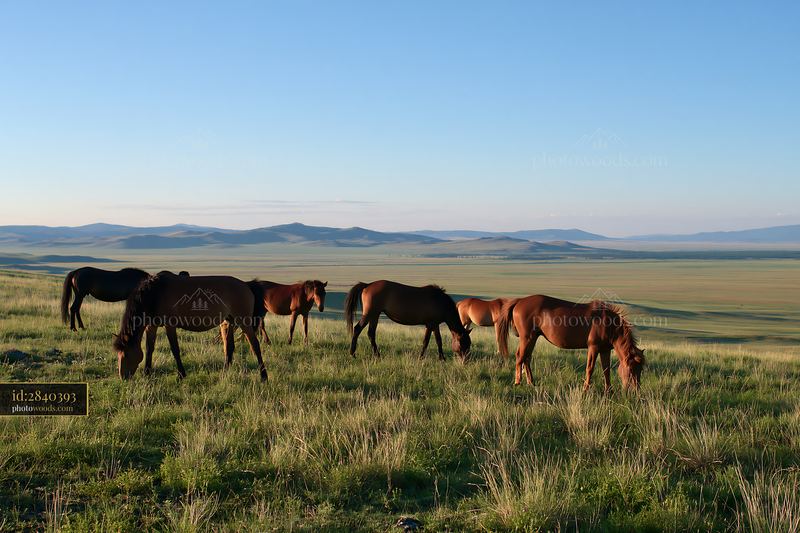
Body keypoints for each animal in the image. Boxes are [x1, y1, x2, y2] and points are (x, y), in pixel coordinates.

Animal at [113, 273, 267, 381]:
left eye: (126, 354)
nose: (122, 377)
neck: (155, 293)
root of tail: (246, 285)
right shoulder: (152, 326)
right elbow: (149, 349)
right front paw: (147, 373)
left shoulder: (170, 325)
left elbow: (175, 349)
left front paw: (181, 375)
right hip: (229, 321)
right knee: (229, 347)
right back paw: (225, 372)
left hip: (244, 322)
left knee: (255, 346)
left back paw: (264, 376)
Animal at [496, 296, 644, 392]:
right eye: (631, 368)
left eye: (640, 369)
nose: (635, 390)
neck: (608, 324)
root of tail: (520, 301)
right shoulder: (593, 347)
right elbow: (590, 368)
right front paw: (585, 389)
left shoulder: (605, 350)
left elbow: (606, 370)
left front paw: (609, 390)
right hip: (527, 338)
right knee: (520, 356)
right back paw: (518, 381)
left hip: (533, 338)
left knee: (527, 358)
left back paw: (531, 383)